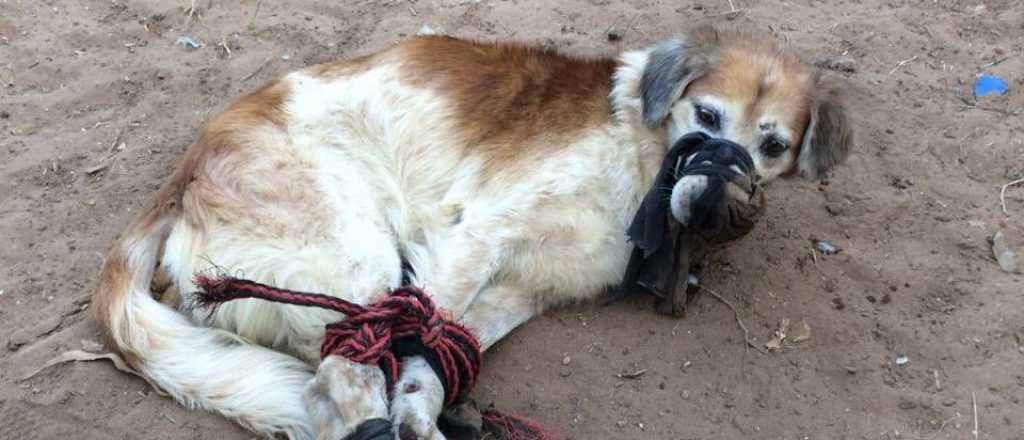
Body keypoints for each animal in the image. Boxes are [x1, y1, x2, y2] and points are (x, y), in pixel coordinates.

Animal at [90, 25, 856, 437]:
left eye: (773, 146)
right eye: (706, 117)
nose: (715, 200)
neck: (638, 156)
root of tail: (185, 171)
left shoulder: (524, 289)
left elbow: (437, 354)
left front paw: (424, 407)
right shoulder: (477, 235)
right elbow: (422, 336)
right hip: (356, 254)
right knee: (336, 378)